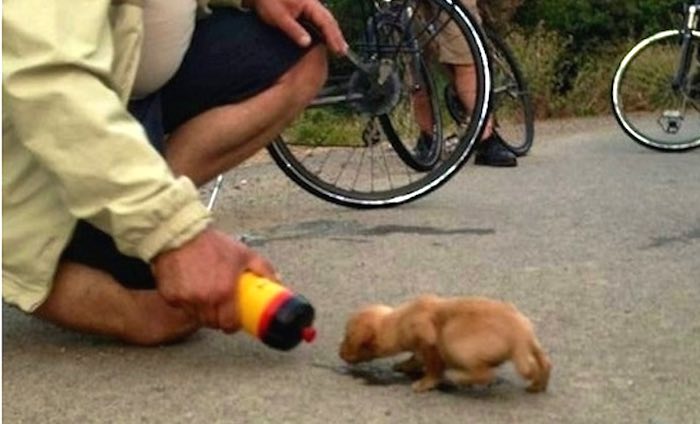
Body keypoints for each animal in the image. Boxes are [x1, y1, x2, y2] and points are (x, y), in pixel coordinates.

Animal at [340, 296, 552, 392]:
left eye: (348, 339)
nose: (340, 354)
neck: (401, 319)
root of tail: (521, 335)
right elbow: (416, 357)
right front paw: (405, 365)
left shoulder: (429, 341)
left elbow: (433, 366)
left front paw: (424, 383)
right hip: (535, 345)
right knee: (545, 363)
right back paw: (538, 385)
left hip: (454, 339)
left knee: (485, 374)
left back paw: (459, 377)